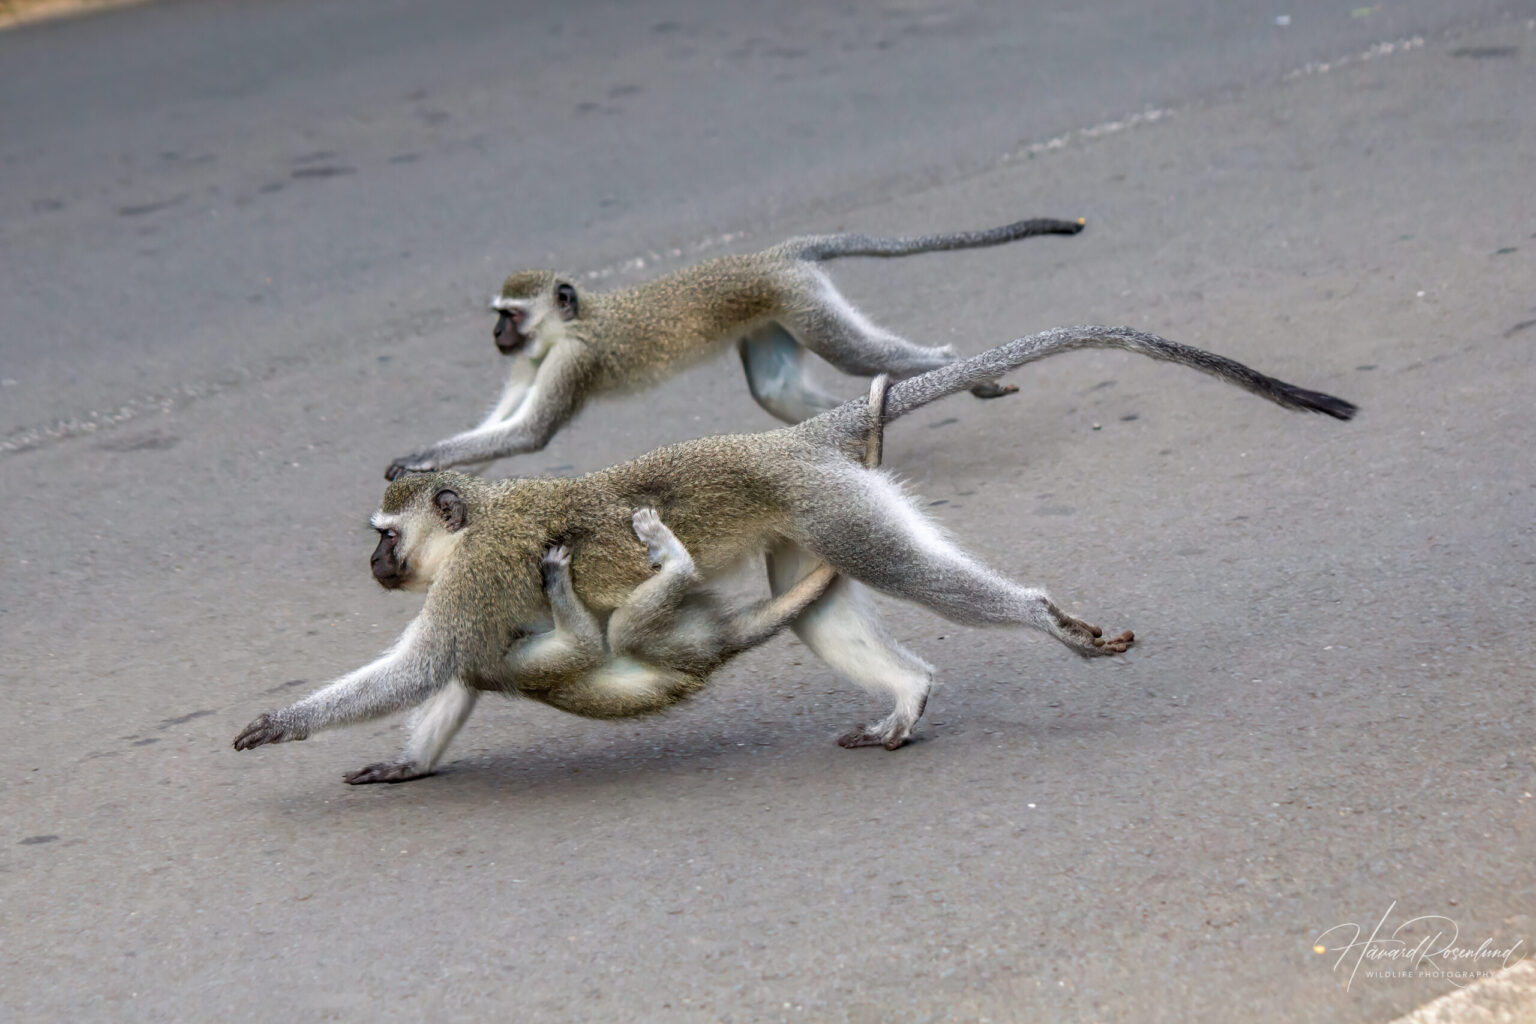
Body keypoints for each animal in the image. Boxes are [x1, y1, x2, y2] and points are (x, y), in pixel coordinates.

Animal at [239, 324, 1356, 782]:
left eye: (387, 537)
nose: (375, 568)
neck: (483, 521)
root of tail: (791, 441)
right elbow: (458, 679)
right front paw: (408, 760)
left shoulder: (473, 580)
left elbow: (426, 663)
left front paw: (283, 721)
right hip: (816, 516)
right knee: (818, 603)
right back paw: (906, 698)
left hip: (834, 505)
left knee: (913, 576)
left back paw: (1041, 619)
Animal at [383, 216, 1087, 481]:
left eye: (510, 316)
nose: (496, 337)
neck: (562, 328)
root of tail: (773, 255)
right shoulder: (529, 364)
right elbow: (498, 429)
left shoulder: (571, 360)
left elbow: (527, 434)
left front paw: (414, 461)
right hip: (772, 316)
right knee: (775, 391)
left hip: (802, 303)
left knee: (862, 356)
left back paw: (957, 371)